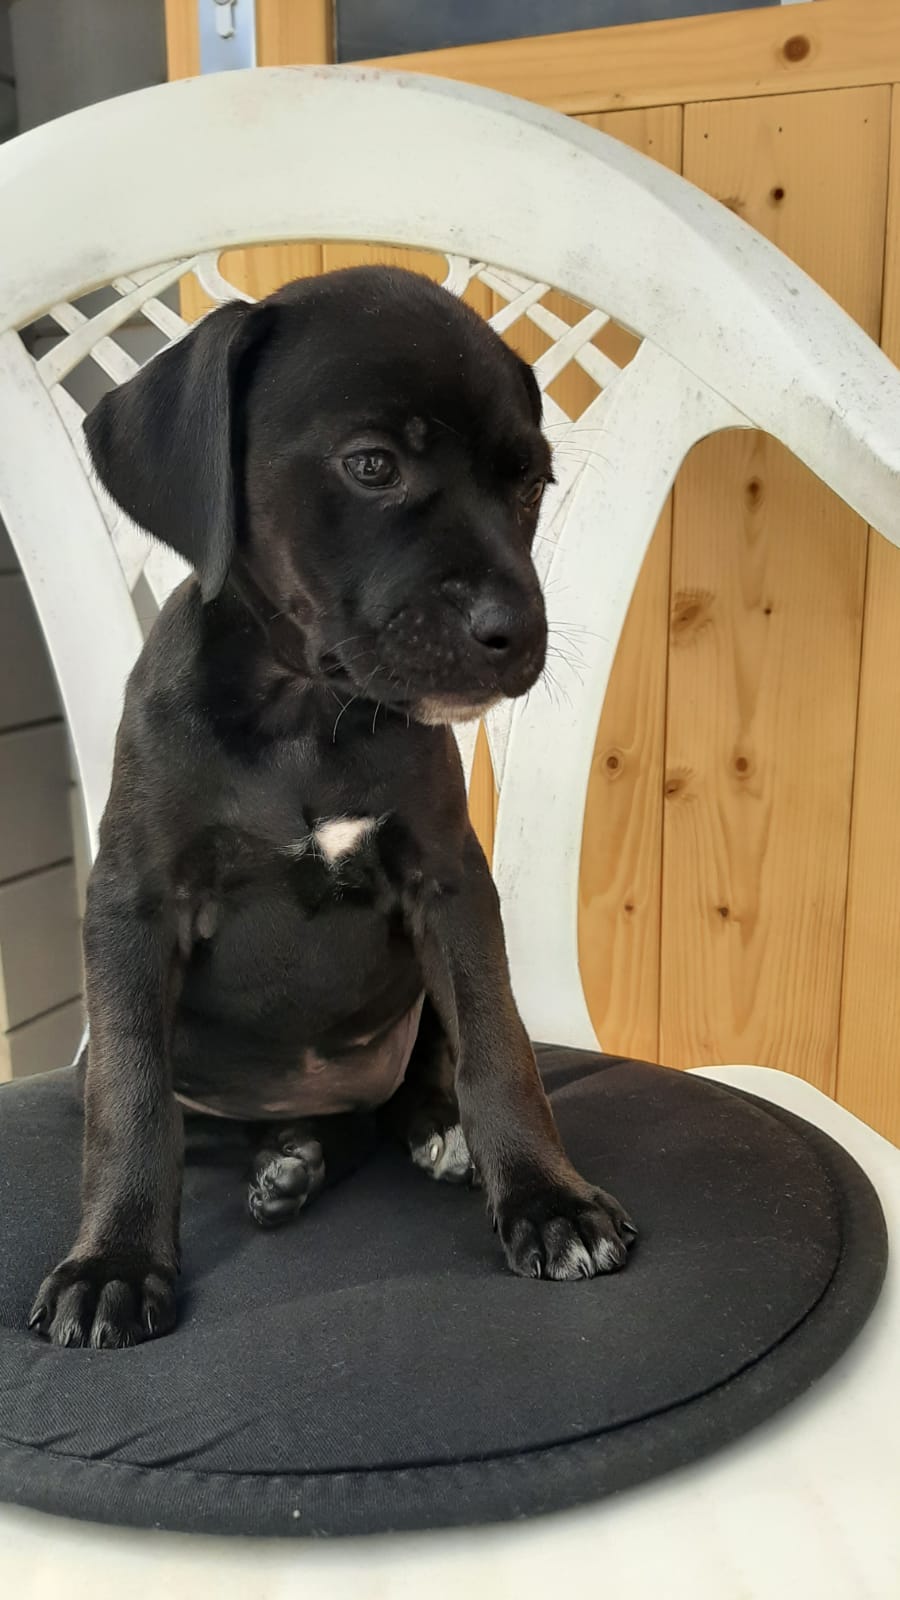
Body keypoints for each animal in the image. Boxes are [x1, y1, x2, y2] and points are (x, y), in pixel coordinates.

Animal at [29, 266, 635, 1349]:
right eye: (372, 465)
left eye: (530, 485)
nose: (516, 632)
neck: (305, 710)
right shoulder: (132, 903)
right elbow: (132, 1099)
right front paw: (114, 1261)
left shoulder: (450, 885)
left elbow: (500, 1047)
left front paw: (547, 1199)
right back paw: (287, 1158)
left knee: (409, 1086)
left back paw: (404, 1138)